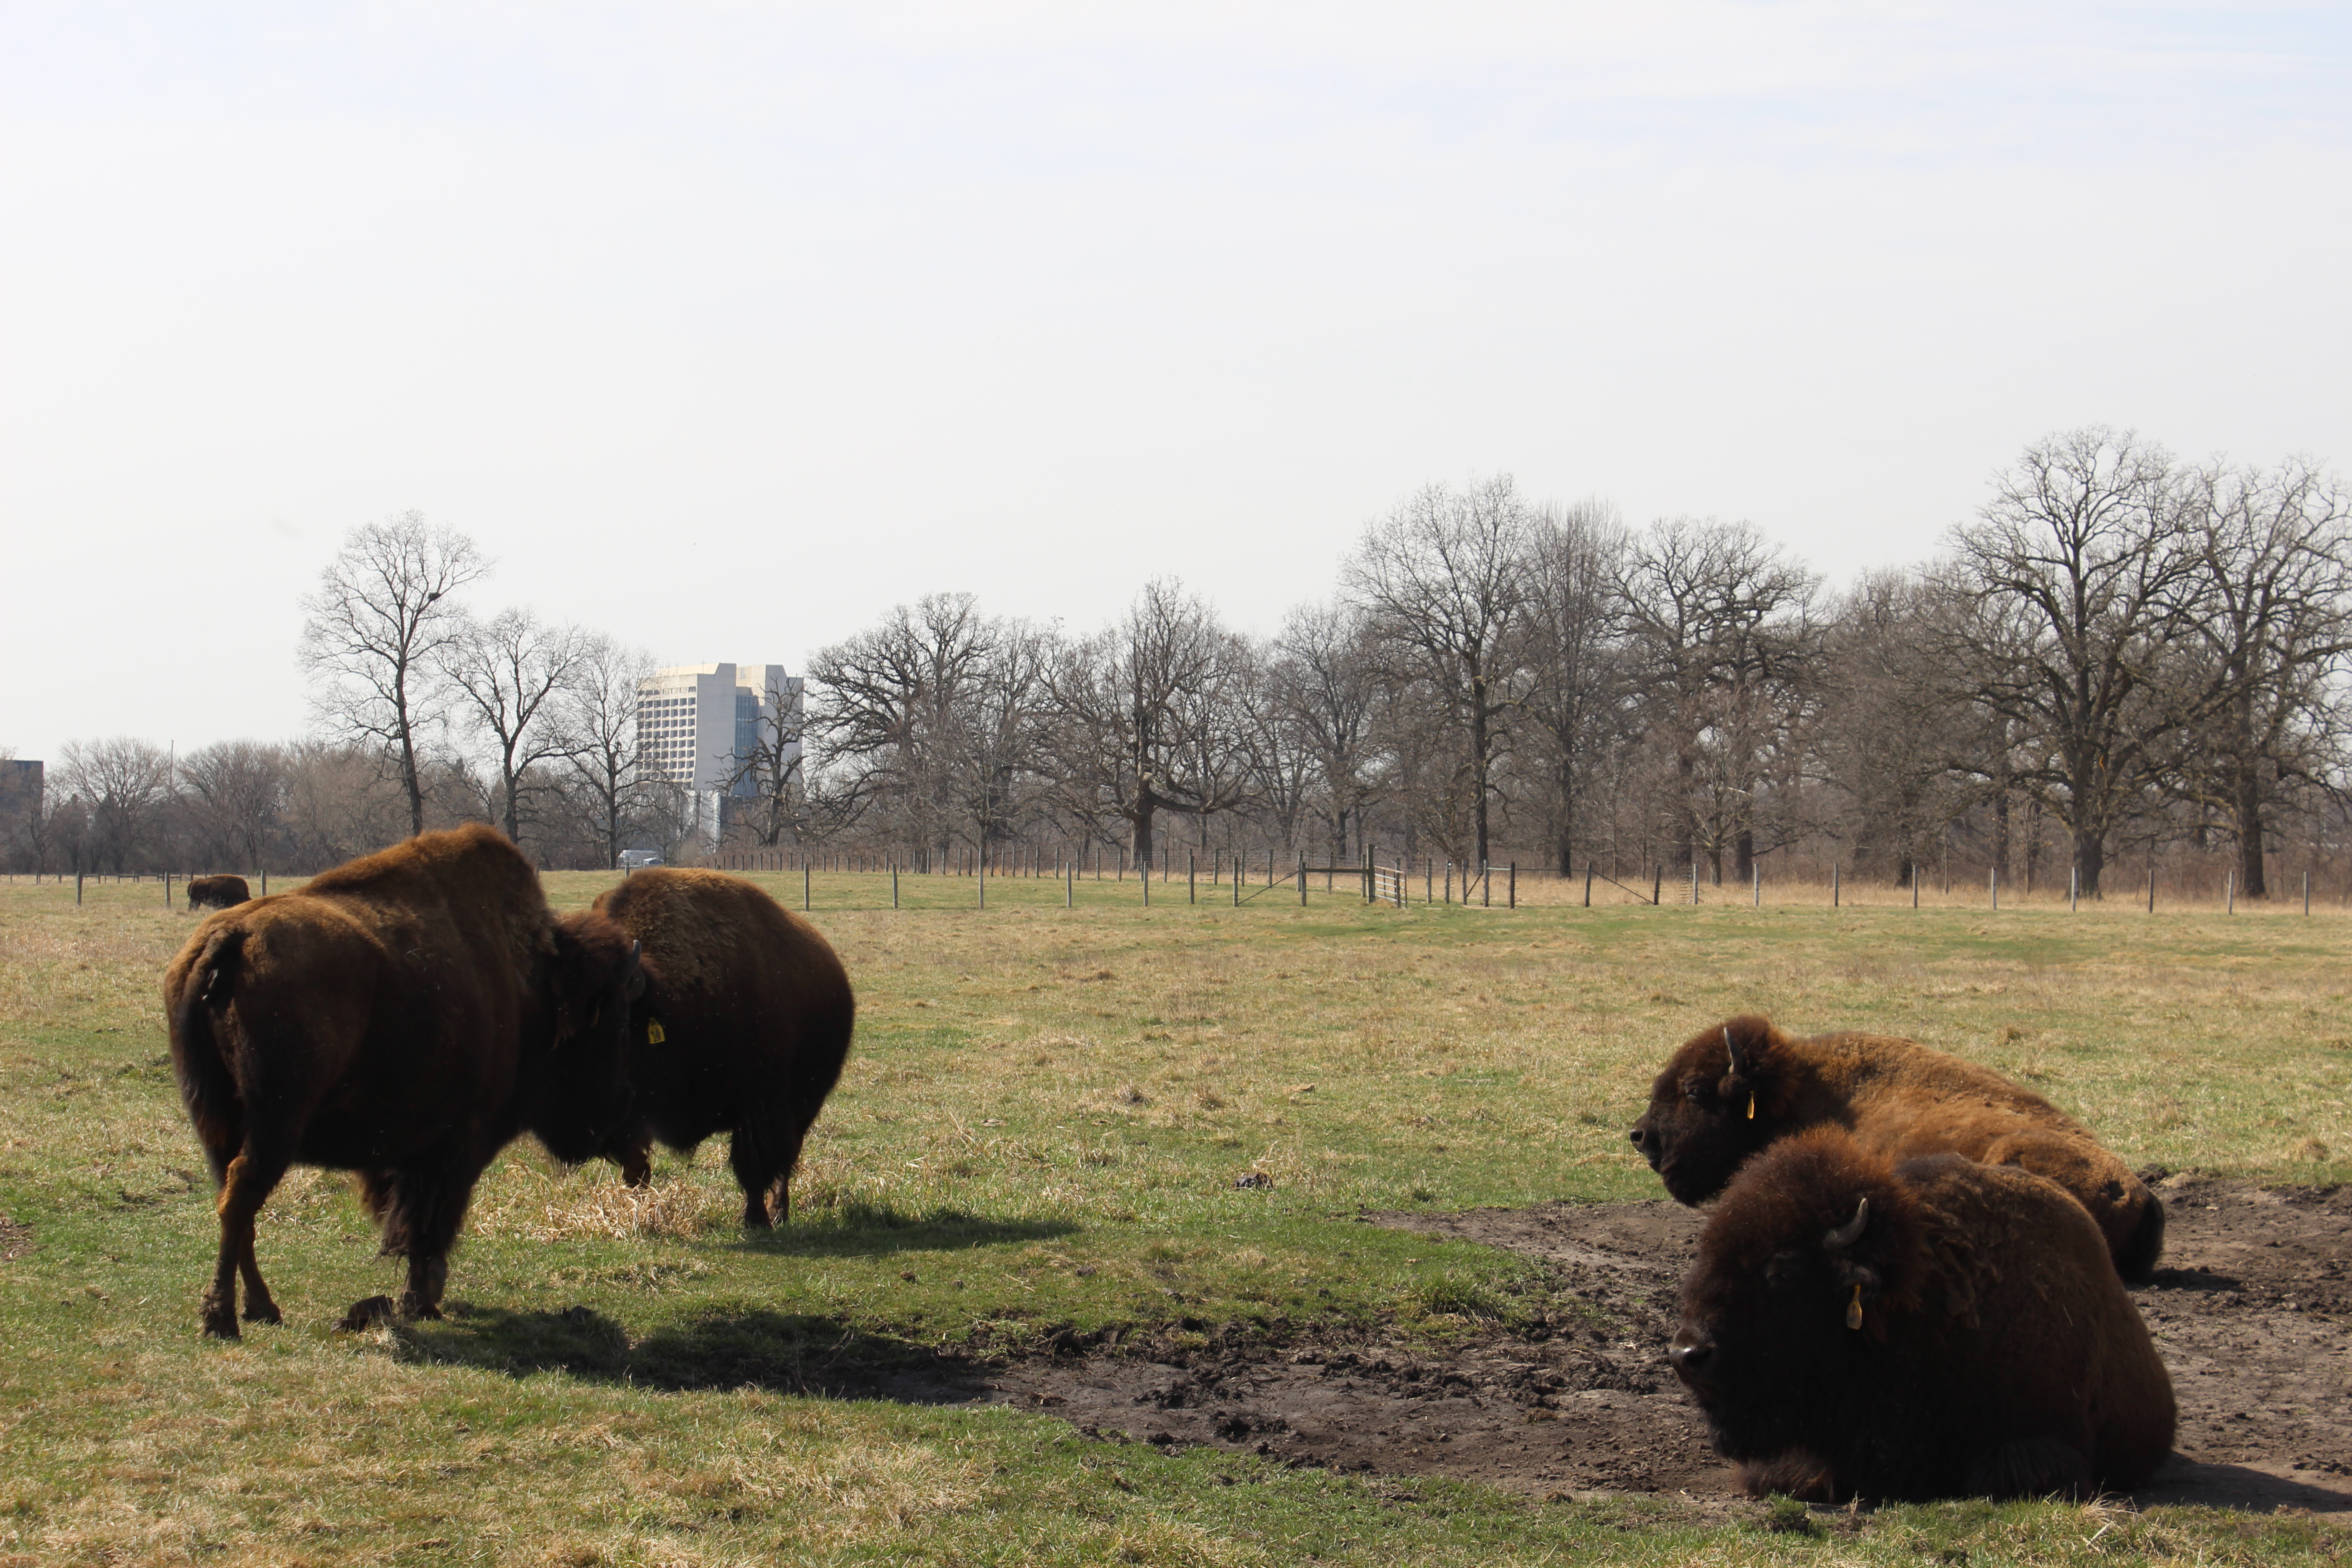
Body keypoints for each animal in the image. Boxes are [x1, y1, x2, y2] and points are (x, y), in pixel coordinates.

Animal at [593, 870, 861, 1222]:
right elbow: (634, 1166)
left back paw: (779, 1212)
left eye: (620, 1024)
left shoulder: (759, 1104)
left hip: (804, 1104)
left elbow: (753, 1165)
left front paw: (756, 1220)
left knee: (787, 1156)